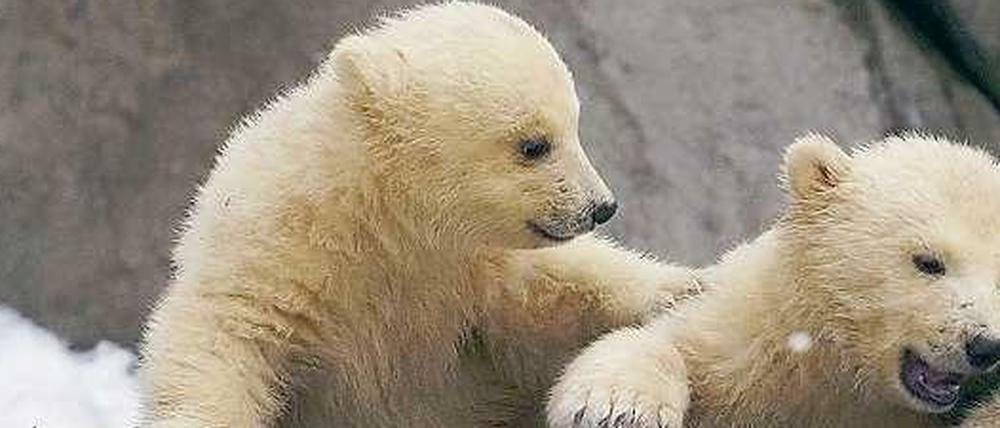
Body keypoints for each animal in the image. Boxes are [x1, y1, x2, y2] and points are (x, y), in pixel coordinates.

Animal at [137, 3, 700, 427]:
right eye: (534, 144)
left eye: (575, 126)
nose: (601, 206)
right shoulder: (276, 257)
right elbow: (226, 341)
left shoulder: (479, 276)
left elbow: (560, 296)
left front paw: (679, 288)